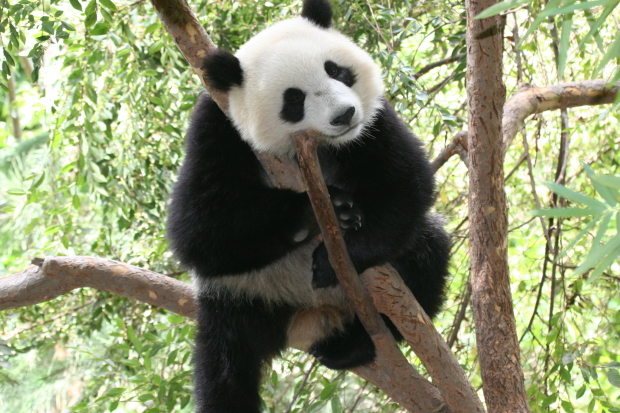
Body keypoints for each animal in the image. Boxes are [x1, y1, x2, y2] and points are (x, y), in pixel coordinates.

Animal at [170, 0, 450, 412]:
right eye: (294, 99)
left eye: (336, 70)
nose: (344, 115)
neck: (312, 146)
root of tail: (310, 315)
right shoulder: (219, 129)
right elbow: (198, 230)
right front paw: (328, 208)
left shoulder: (373, 123)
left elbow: (404, 184)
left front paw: (335, 257)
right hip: (242, 294)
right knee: (225, 364)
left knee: (427, 251)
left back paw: (352, 345)